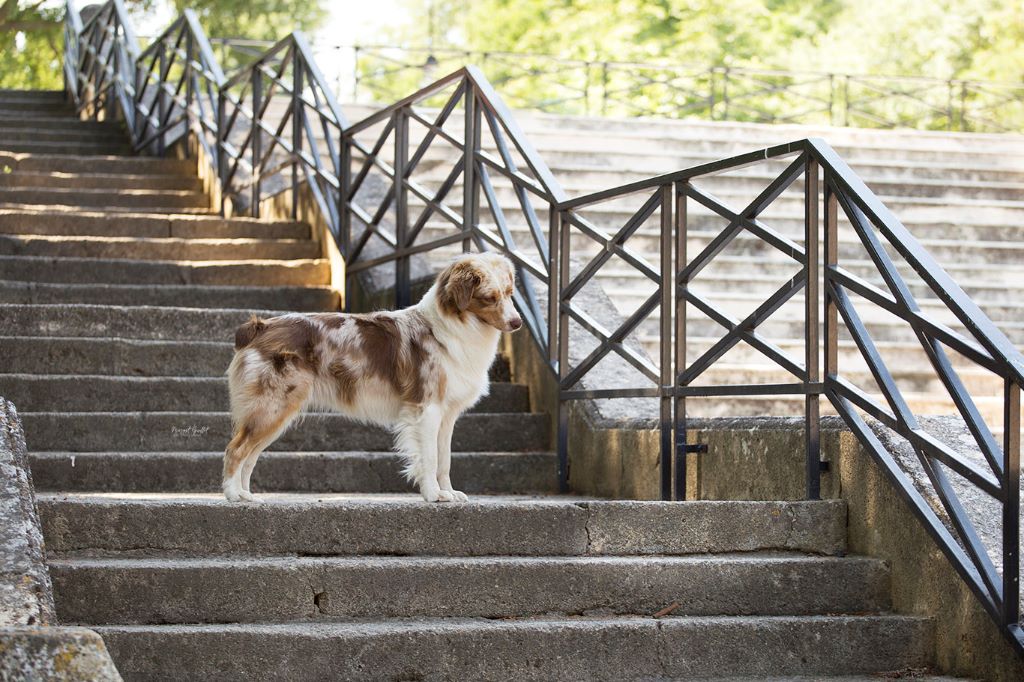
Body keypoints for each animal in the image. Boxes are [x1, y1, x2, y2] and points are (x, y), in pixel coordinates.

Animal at [225, 251, 528, 501]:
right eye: (489, 298)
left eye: (510, 292)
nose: (517, 323)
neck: (450, 328)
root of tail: (261, 326)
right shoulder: (426, 408)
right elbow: (430, 458)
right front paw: (433, 495)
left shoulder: (447, 414)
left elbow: (445, 460)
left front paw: (449, 492)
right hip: (272, 407)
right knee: (235, 450)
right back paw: (232, 495)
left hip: (274, 413)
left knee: (250, 456)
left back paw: (247, 495)